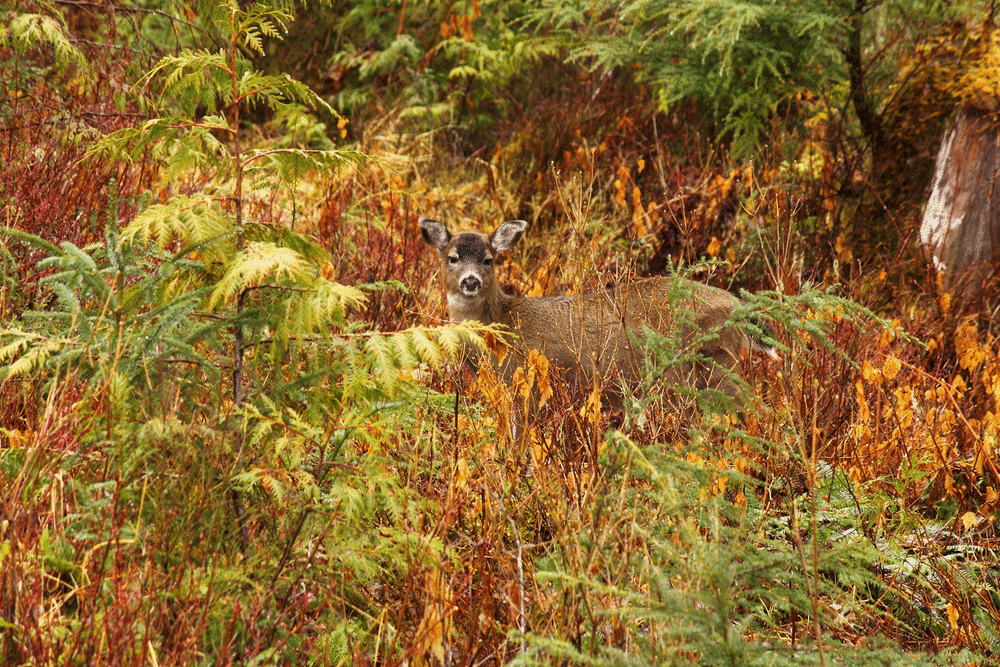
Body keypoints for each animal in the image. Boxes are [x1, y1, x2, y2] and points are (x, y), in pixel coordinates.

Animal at [418, 217, 776, 410]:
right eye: (452, 257)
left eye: (488, 259)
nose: (470, 281)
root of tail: (736, 304)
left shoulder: (525, 384)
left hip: (708, 363)